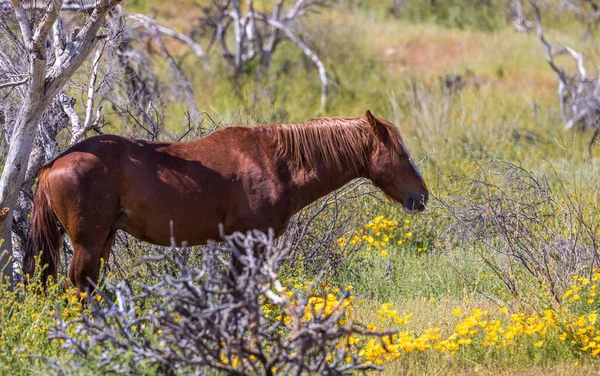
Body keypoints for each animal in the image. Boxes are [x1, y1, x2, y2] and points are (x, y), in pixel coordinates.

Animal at [24, 110, 426, 292]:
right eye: (400, 153)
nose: (421, 196)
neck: (275, 162)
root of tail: (54, 163)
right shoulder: (251, 240)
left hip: (103, 239)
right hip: (88, 243)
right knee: (79, 285)